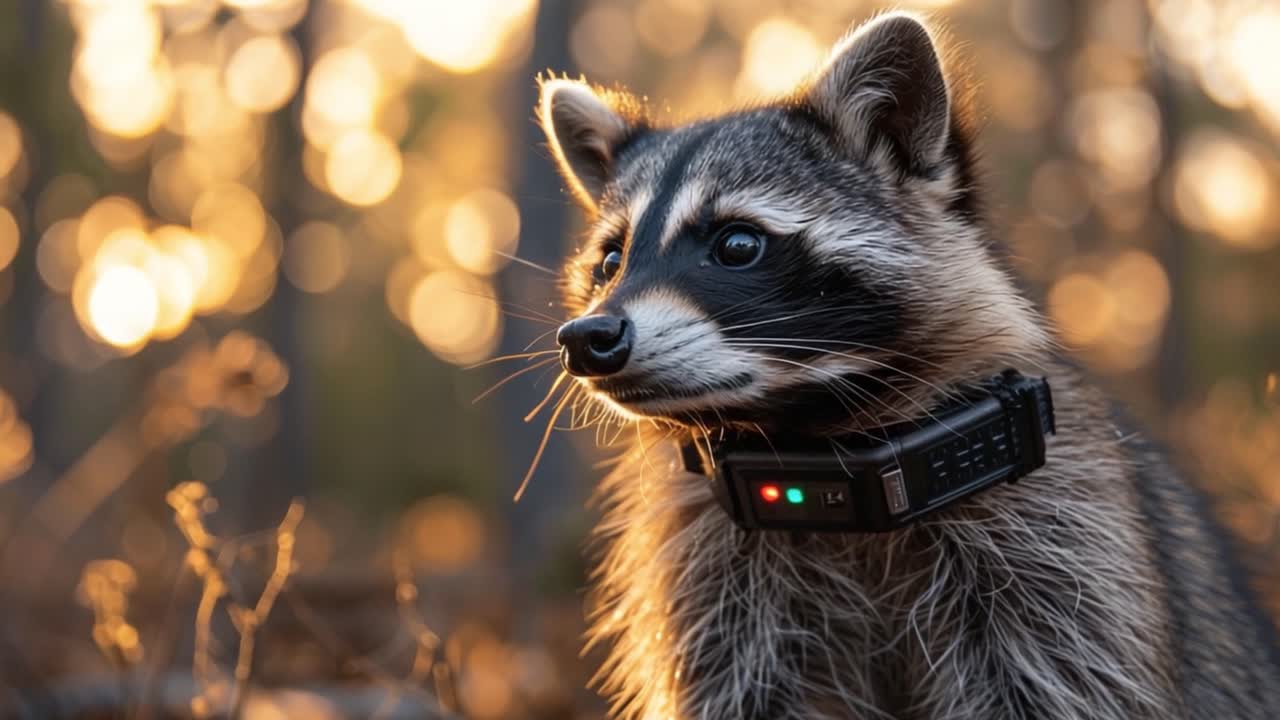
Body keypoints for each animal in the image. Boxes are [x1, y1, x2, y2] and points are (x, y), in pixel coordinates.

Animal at [536, 12, 1280, 720]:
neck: (813, 443)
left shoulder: (1061, 561)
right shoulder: (719, 599)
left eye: (738, 244)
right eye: (610, 262)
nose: (589, 338)